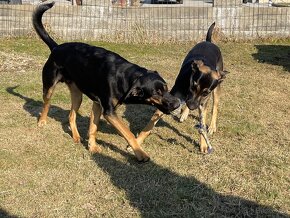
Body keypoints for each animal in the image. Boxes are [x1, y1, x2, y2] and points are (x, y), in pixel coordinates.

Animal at [32, 1, 180, 162]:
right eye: (156, 93)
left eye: (166, 88)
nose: (177, 104)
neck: (127, 78)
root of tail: (56, 47)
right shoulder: (109, 112)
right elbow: (128, 134)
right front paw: (141, 154)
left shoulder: (98, 104)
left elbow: (93, 127)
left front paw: (92, 147)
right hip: (49, 86)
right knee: (46, 103)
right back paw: (42, 121)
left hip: (77, 95)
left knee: (71, 115)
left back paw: (76, 137)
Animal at [137, 22, 228, 153]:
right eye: (193, 86)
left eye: (205, 93)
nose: (193, 106)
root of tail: (209, 42)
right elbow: (150, 124)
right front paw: (136, 142)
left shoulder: (202, 103)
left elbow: (202, 123)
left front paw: (204, 144)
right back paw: (185, 113)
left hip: (217, 88)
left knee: (215, 106)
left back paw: (211, 126)